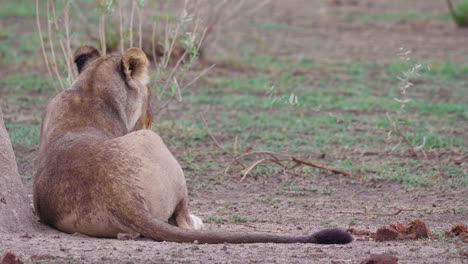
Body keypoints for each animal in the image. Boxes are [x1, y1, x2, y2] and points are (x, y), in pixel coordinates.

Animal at [33, 44, 352, 243]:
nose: (150, 118)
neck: (89, 91)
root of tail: (123, 197)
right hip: (157, 144)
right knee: (183, 218)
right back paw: (197, 221)